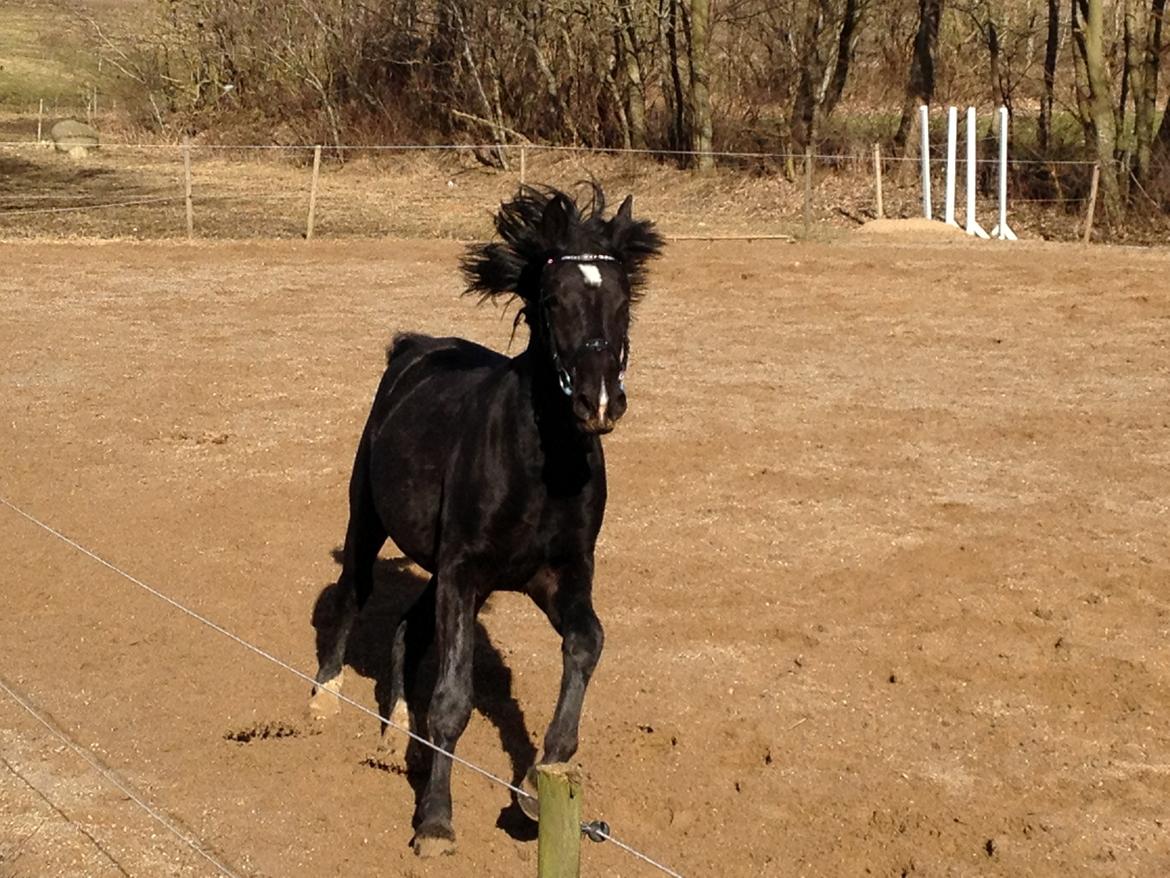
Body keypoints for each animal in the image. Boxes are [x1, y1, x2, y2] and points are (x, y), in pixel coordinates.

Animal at [308, 187, 659, 861]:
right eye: (554, 300)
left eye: (624, 299)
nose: (600, 402)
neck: (541, 466)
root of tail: (411, 348)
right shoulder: (464, 572)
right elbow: (452, 699)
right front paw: (435, 823)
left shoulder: (556, 575)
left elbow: (587, 641)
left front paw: (538, 779)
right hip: (369, 520)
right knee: (354, 593)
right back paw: (324, 700)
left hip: (443, 571)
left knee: (408, 626)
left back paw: (400, 733)